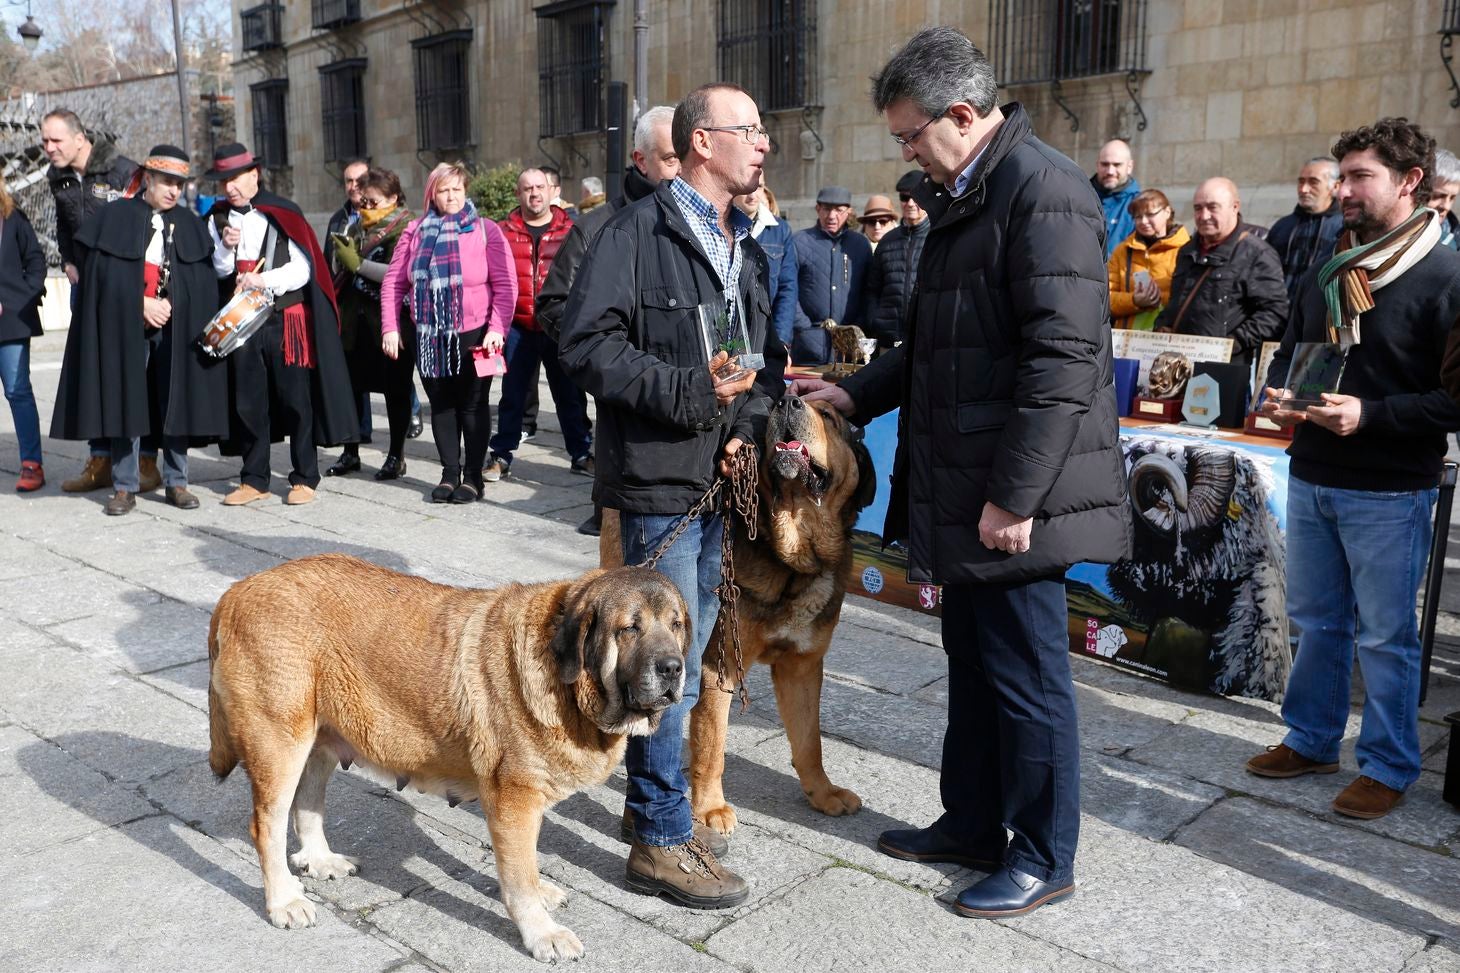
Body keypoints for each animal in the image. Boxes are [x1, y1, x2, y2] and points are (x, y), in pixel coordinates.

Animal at [208, 552, 692, 964]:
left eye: (676, 625)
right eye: (629, 628)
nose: (673, 668)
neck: (567, 683)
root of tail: (237, 591)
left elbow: (527, 863)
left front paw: (540, 893)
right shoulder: (513, 800)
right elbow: (518, 877)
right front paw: (542, 932)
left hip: (320, 735)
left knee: (307, 804)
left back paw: (320, 860)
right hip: (281, 742)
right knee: (266, 826)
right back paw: (284, 901)